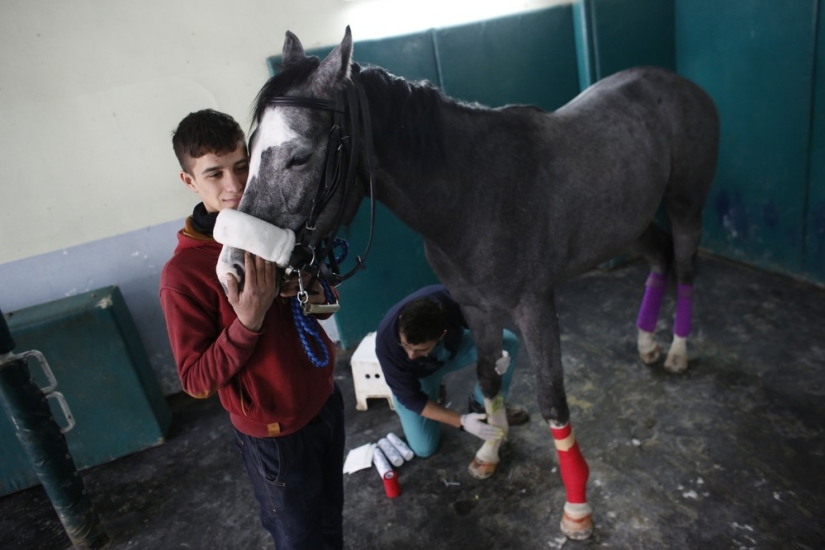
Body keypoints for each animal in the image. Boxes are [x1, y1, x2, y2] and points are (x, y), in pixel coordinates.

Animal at [215, 27, 719, 540]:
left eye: (299, 157)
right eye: (250, 150)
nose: (235, 270)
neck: (475, 193)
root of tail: (679, 84)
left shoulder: (535, 309)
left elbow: (553, 401)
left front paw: (577, 508)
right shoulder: (477, 308)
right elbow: (488, 376)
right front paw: (490, 449)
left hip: (685, 206)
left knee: (685, 268)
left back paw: (677, 352)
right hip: (632, 222)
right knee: (660, 262)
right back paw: (648, 343)